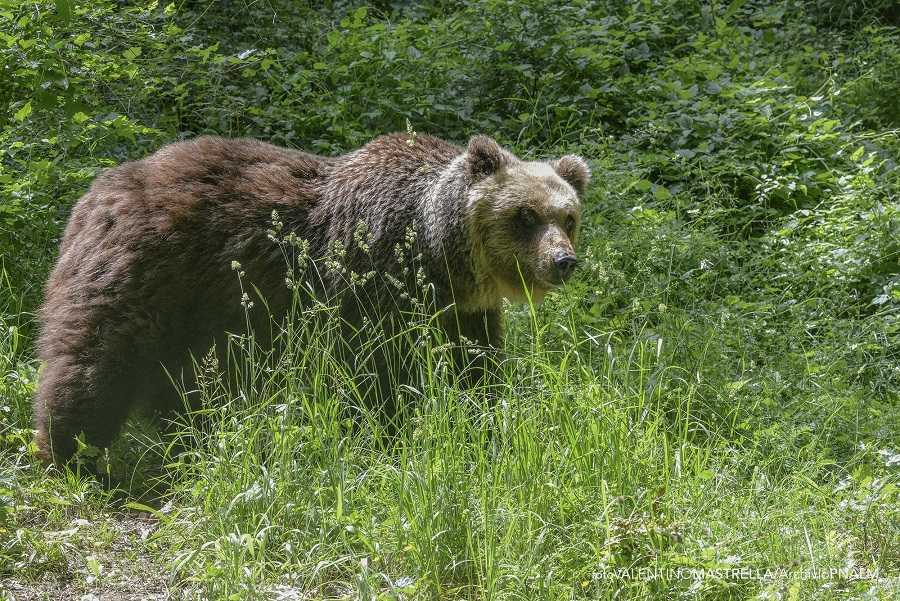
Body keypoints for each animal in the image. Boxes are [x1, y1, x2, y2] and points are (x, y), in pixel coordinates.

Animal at [34, 133, 590, 464]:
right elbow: (374, 372)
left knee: (185, 379)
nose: (563, 261)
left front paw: (483, 423)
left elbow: (472, 367)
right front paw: (386, 436)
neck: (437, 254)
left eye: (568, 216)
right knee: (95, 359)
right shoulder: (370, 280)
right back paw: (70, 452)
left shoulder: (462, 312)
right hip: (143, 275)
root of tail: (95, 192)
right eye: (524, 215)